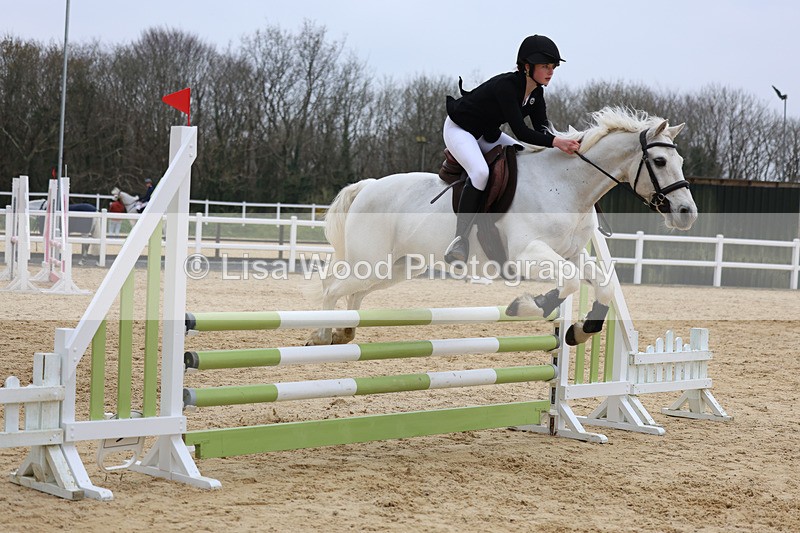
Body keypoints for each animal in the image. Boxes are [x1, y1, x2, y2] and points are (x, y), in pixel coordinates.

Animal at [306, 107, 697, 346]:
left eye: (679, 159)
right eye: (659, 161)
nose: (686, 213)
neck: (566, 185)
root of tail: (367, 186)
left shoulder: (572, 255)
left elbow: (602, 286)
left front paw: (579, 332)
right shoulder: (527, 255)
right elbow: (568, 283)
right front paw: (527, 305)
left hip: (396, 268)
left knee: (353, 292)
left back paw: (344, 331)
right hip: (373, 262)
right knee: (331, 286)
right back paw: (321, 335)